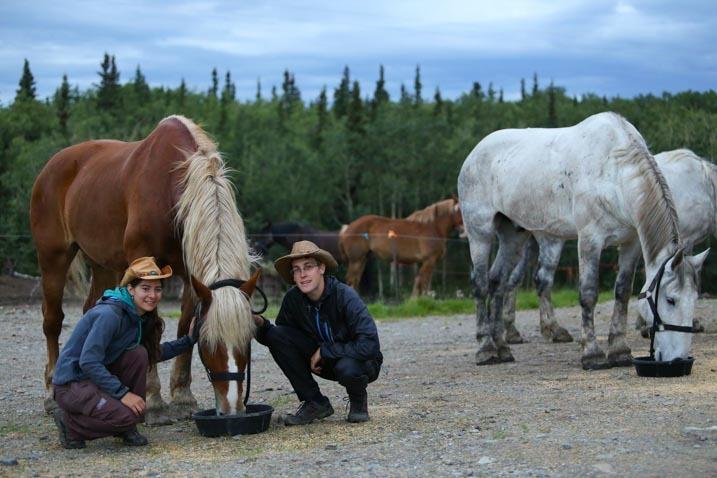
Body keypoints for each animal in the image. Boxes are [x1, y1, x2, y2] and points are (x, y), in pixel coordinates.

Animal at [30, 116, 256, 422]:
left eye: (247, 340)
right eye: (209, 343)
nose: (232, 408)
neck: (172, 188)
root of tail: (52, 165)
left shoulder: (191, 274)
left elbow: (184, 327)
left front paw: (182, 396)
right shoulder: (147, 264)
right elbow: (152, 328)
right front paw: (153, 401)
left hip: (104, 264)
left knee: (92, 309)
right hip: (53, 258)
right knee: (52, 321)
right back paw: (52, 393)